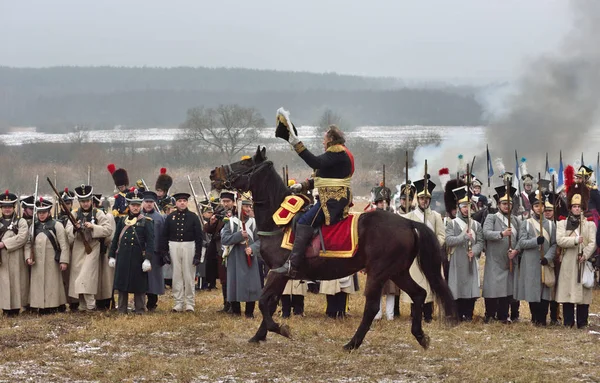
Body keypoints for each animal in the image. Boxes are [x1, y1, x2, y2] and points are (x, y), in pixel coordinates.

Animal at [211, 147, 454, 352]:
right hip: (398, 272)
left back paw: (352, 343)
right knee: (419, 293)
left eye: (246, 163)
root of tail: (408, 223)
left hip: (379, 273)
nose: (214, 173)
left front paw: (281, 329)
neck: (278, 221)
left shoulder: (278, 272)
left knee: (372, 307)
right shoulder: (280, 276)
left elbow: (262, 302)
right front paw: (259, 335)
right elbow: (269, 304)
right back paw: (420, 336)